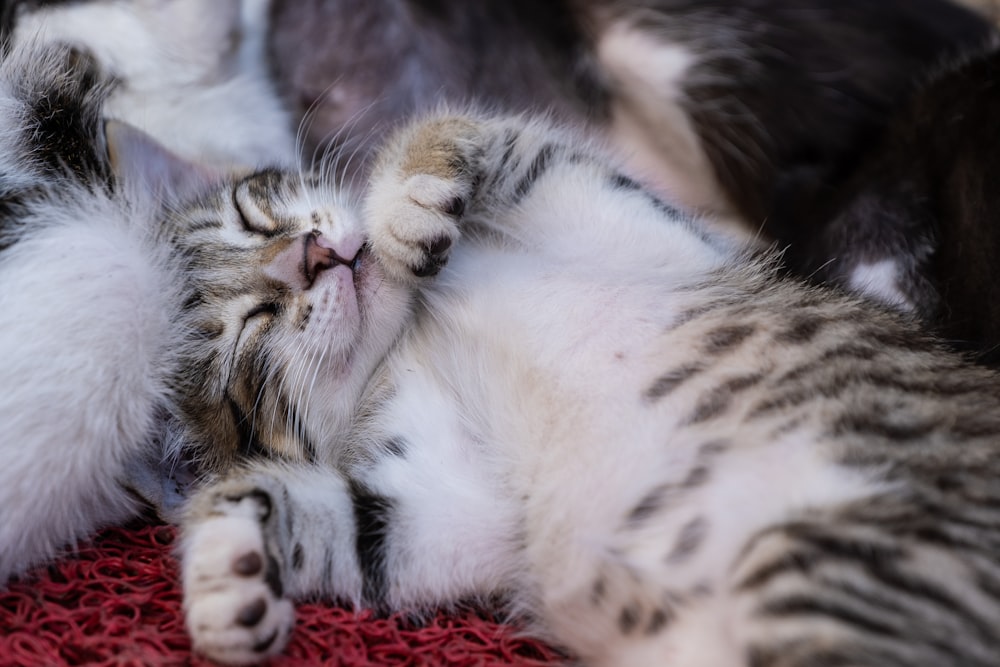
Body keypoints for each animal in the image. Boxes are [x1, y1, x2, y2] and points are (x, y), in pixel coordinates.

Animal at [164, 112, 1000, 664]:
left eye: (253, 213)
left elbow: (493, 132)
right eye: (247, 337)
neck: (414, 339)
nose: (311, 255)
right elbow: (351, 517)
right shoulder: (462, 508)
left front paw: (405, 198)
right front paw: (225, 567)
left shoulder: (650, 227)